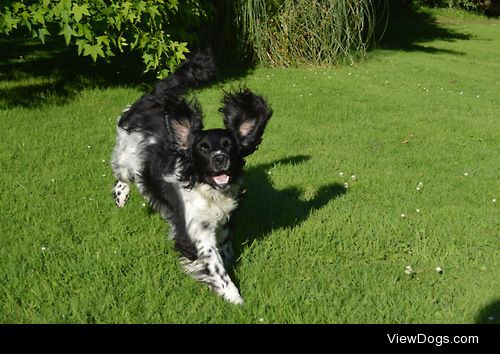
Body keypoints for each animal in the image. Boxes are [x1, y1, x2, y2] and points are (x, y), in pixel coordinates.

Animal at [110, 52, 274, 304]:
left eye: (230, 146)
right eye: (203, 148)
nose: (220, 158)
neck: (206, 189)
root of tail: (151, 101)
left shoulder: (223, 220)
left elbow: (226, 246)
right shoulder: (196, 231)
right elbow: (215, 266)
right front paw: (235, 298)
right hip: (125, 156)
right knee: (122, 176)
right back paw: (121, 196)